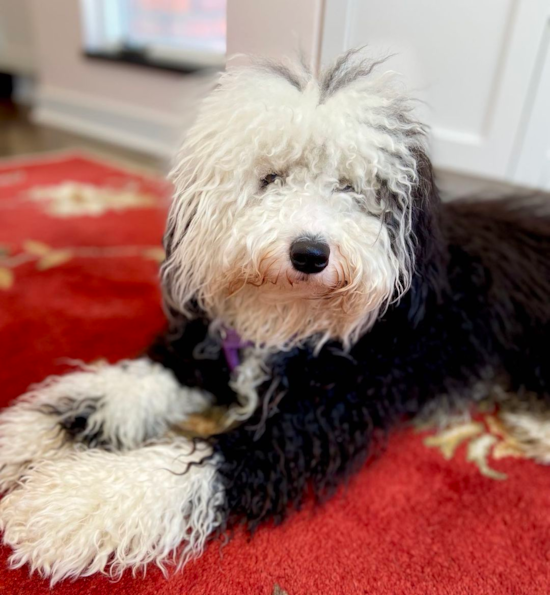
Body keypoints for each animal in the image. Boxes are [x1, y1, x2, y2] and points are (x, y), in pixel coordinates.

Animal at [1, 50, 550, 584]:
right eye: (270, 179)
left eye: (352, 189)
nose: (310, 253)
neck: (283, 326)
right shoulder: (197, 358)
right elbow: (97, 396)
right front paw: (20, 445)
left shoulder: (301, 427)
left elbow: (197, 463)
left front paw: (74, 502)